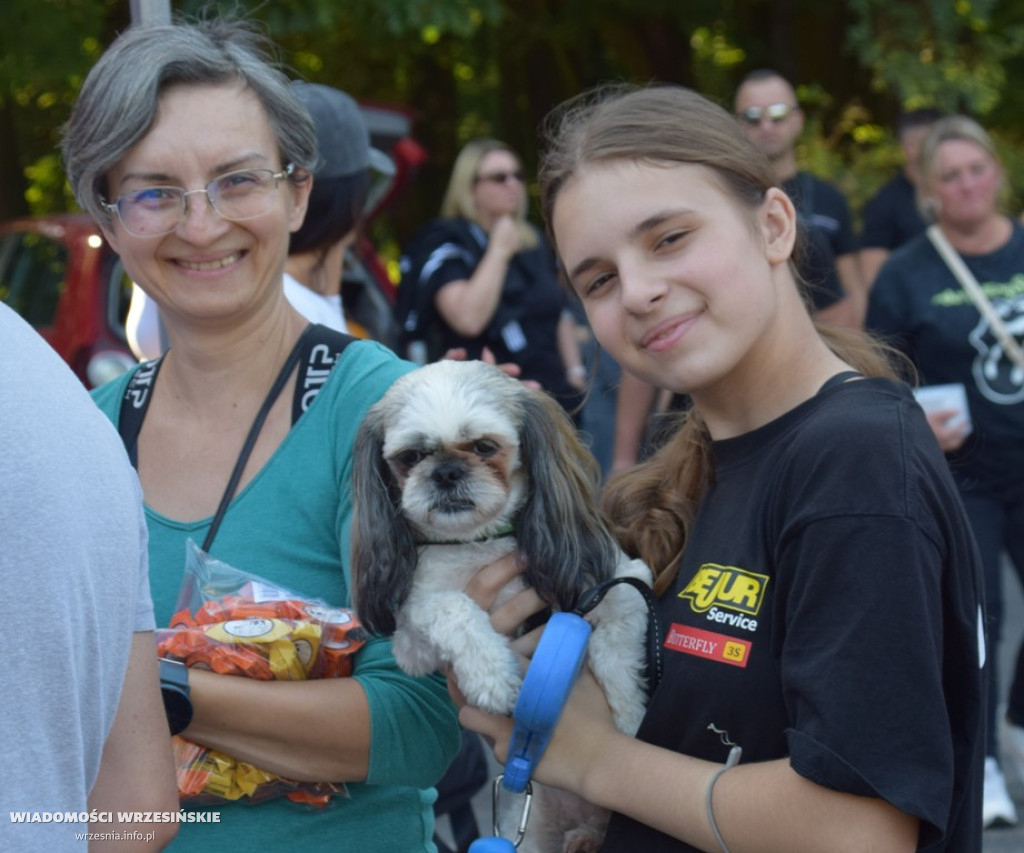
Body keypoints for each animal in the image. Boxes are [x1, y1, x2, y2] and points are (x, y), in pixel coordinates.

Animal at [352, 358, 651, 851]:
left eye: (484, 447)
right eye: (411, 457)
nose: (446, 472)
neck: (479, 544)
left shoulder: (623, 585)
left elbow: (616, 657)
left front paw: (629, 720)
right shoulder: (413, 646)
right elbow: (451, 607)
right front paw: (491, 674)